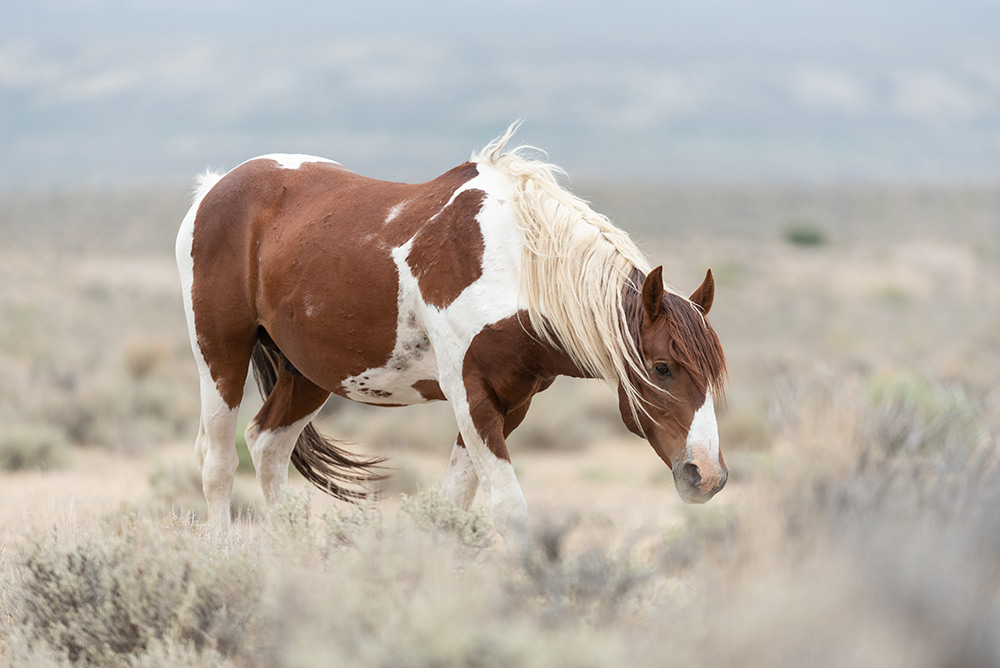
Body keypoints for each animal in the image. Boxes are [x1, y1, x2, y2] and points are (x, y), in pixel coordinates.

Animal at [178, 125, 728, 548]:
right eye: (662, 368)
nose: (707, 475)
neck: (516, 265)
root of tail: (213, 188)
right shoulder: (471, 397)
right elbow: (508, 510)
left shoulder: (509, 404)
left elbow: (451, 509)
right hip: (220, 356)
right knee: (218, 462)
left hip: (308, 373)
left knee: (267, 446)